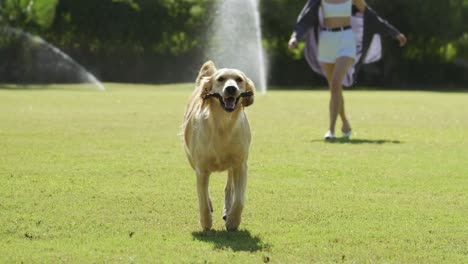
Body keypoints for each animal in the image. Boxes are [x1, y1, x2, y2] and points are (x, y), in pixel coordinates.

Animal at [183, 60, 256, 230]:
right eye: (220, 79)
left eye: (239, 80)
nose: (231, 88)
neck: (223, 124)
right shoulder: (201, 168)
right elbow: (202, 199)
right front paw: (206, 223)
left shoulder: (241, 164)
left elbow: (239, 199)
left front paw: (233, 221)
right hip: (191, 159)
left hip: (232, 166)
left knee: (229, 188)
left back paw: (227, 210)